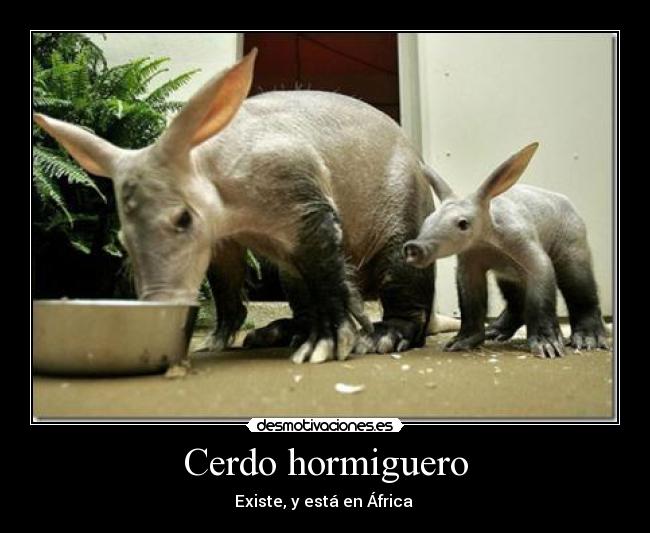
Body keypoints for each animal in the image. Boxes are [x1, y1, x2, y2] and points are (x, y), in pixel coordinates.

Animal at [34, 49, 450, 364]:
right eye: (121, 238)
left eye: (182, 218)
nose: (159, 305)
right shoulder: (222, 236)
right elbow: (225, 279)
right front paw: (214, 342)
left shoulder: (299, 192)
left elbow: (327, 265)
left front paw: (325, 346)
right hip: (290, 273)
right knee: (300, 293)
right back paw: (278, 332)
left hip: (405, 218)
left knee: (405, 293)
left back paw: (377, 336)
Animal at [403, 143, 608, 358]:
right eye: (427, 220)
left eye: (463, 224)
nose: (413, 248)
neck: (487, 241)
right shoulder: (471, 258)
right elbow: (470, 299)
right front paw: (461, 342)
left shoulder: (524, 244)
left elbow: (541, 284)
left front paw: (547, 345)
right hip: (508, 275)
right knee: (515, 298)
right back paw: (495, 331)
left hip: (572, 239)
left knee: (579, 285)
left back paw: (588, 339)